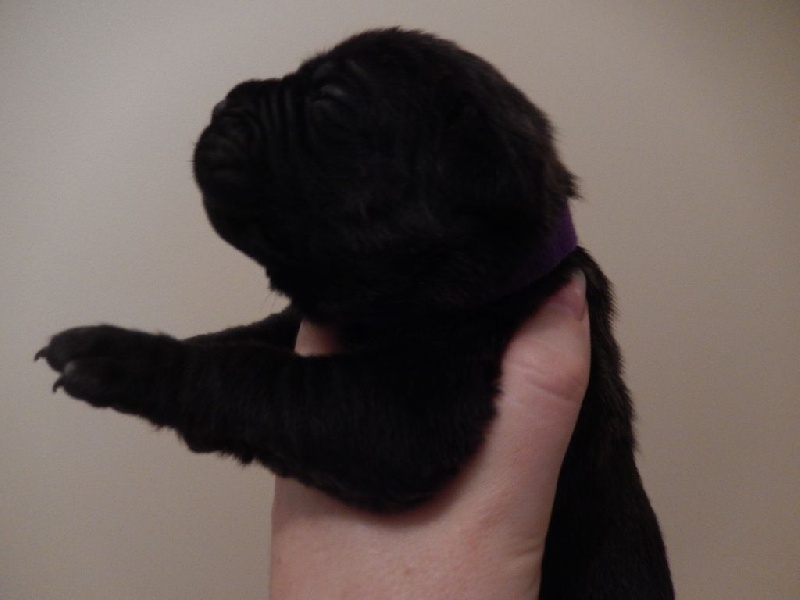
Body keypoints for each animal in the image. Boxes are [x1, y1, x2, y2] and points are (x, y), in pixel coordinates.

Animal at [37, 28, 673, 598]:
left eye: (326, 101)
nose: (222, 101)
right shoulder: (307, 324)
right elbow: (243, 340)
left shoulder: (411, 412)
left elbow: (259, 376)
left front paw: (119, 356)